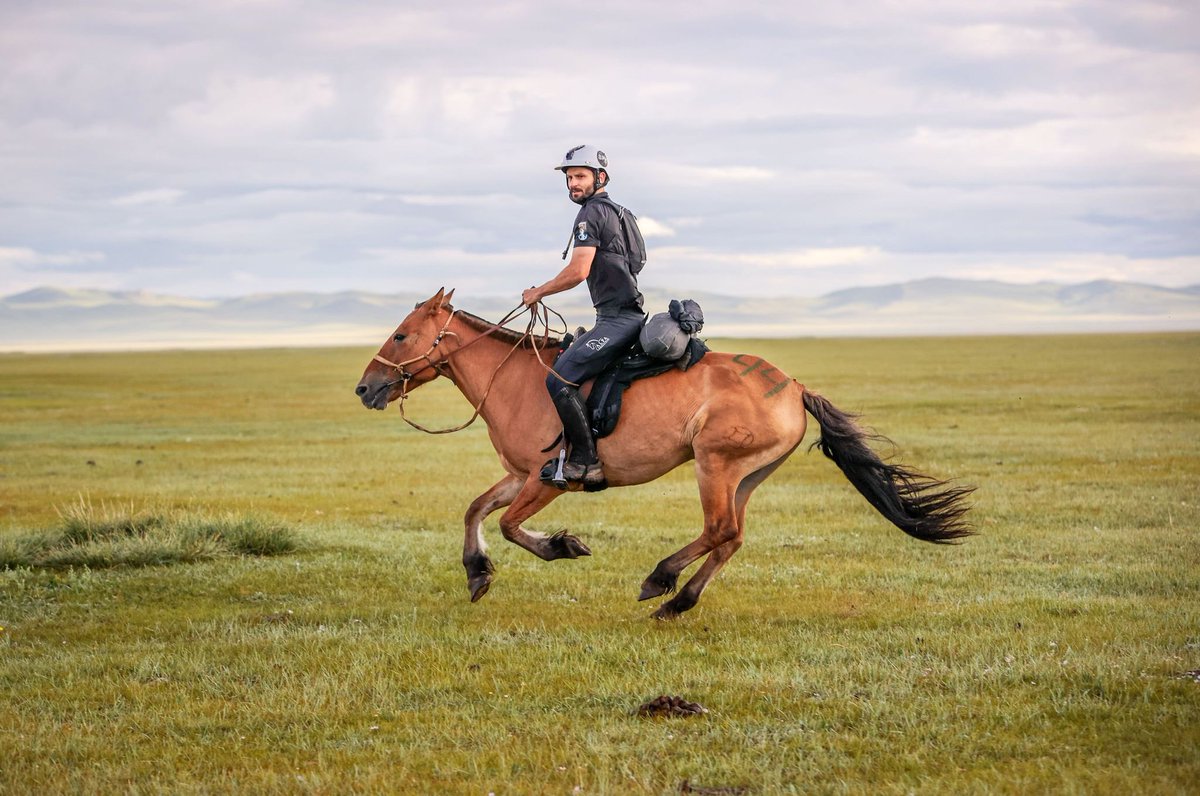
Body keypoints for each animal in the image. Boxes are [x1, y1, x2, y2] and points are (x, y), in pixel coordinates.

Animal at [355, 289, 974, 619]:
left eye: (402, 336)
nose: (365, 388)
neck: (515, 380)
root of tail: (793, 387)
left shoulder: (550, 478)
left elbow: (508, 525)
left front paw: (562, 546)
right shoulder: (522, 474)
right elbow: (476, 510)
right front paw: (476, 573)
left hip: (713, 464)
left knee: (719, 530)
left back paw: (660, 580)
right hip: (746, 475)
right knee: (732, 538)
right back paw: (679, 602)